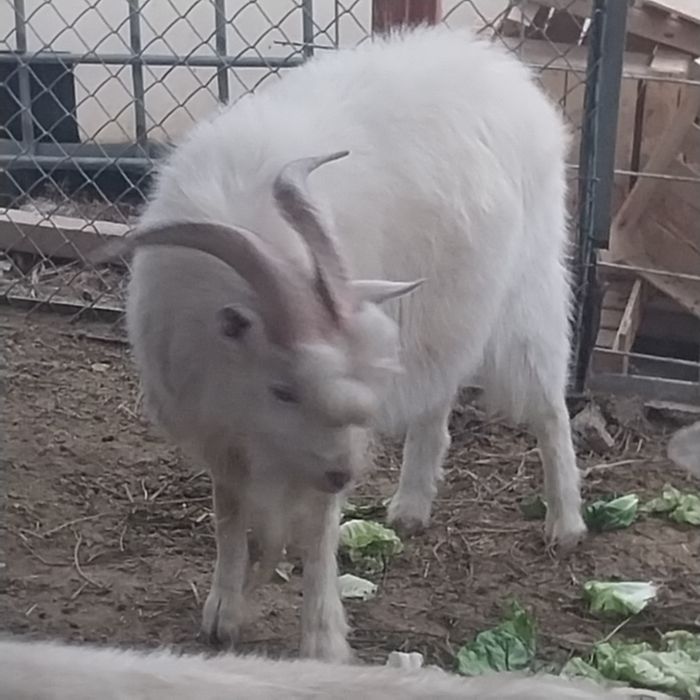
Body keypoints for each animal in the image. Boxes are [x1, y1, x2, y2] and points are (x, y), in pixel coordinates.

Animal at [92, 24, 587, 661]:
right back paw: (411, 507)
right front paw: (223, 615)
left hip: (528, 291)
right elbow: (228, 514)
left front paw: (323, 640)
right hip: (449, 313)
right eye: (281, 389)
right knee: (439, 396)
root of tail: (498, 65)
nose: (343, 476)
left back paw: (566, 524)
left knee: (549, 407)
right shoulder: (222, 433)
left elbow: (319, 531)